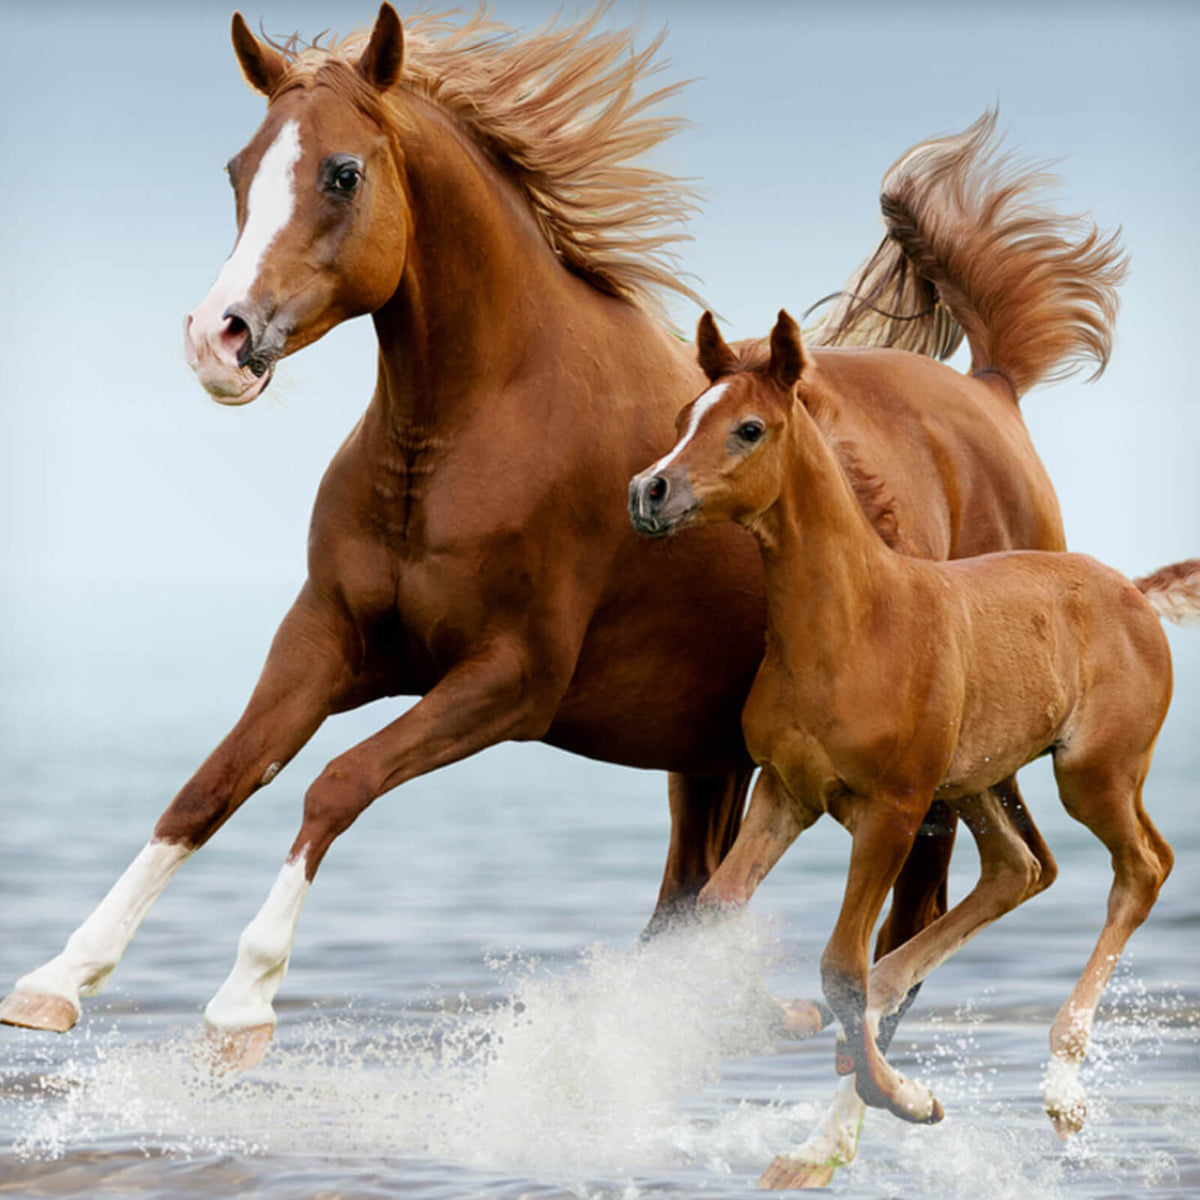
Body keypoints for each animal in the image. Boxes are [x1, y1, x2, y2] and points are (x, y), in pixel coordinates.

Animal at [0, 5, 1120, 1078]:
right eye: (239, 170)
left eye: (341, 172)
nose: (218, 339)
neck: (464, 436)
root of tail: (992, 392)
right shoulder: (326, 641)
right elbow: (213, 784)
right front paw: (58, 980)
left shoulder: (509, 679)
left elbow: (336, 784)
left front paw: (242, 1005)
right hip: (706, 754)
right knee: (692, 902)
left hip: (927, 766)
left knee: (919, 906)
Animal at [629, 308, 1190, 1189]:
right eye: (687, 415)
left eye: (749, 428)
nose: (648, 492)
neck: (855, 626)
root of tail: (1134, 591)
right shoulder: (785, 793)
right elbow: (720, 912)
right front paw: (811, 1029)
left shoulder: (890, 812)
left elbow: (837, 962)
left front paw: (905, 1099)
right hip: (974, 783)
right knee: (1018, 869)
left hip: (1089, 774)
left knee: (1143, 866)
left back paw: (1063, 1089)